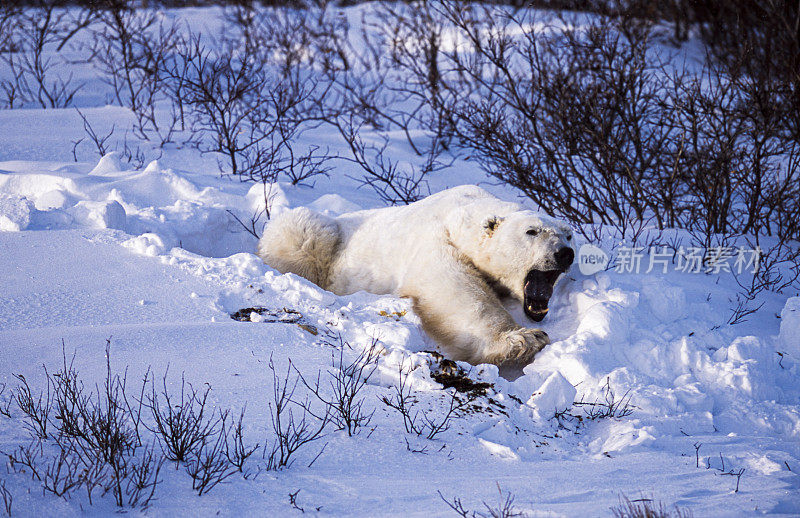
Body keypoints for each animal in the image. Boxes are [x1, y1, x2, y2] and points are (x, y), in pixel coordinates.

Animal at [260, 186, 572, 366]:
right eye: (532, 231)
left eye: (568, 234)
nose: (565, 253)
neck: (464, 211)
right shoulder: (436, 242)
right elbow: (457, 291)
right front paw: (523, 339)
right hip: (324, 233)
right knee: (305, 232)